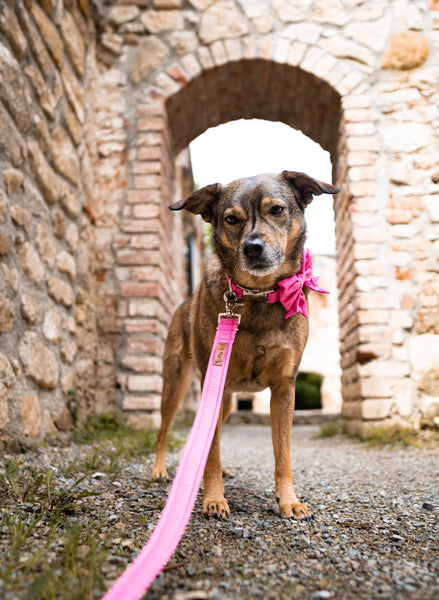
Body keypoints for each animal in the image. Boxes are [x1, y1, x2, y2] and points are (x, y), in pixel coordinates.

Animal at [152, 170, 340, 520]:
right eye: (231, 219)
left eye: (277, 210)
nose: (253, 248)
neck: (257, 294)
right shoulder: (213, 385)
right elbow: (211, 452)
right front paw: (214, 499)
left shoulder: (284, 387)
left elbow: (283, 454)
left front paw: (288, 500)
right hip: (176, 385)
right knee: (165, 429)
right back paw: (159, 469)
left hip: (224, 401)